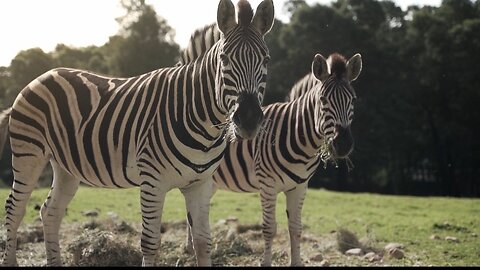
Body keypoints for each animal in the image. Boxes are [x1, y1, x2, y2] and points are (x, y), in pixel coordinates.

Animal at [0, 0, 276, 266]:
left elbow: (202, 242)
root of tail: (43, 74)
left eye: (266, 60)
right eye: (225, 59)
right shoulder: (153, 181)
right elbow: (151, 244)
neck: (198, 117)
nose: (249, 120)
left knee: (50, 212)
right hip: (28, 153)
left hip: (66, 165)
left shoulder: (200, 184)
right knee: (15, 208)